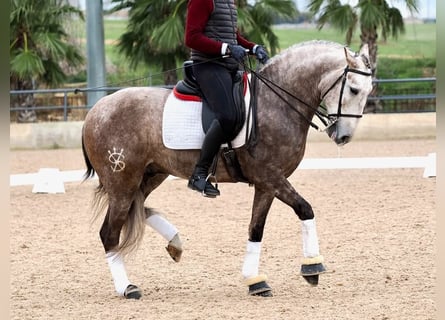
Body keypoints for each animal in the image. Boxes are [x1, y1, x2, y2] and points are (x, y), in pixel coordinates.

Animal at [82, 40, 372, 300]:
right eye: (354, 89)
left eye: (369, 91)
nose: (343, 136)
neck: (275, 103)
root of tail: (94, 111)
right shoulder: (271, 177)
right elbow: (305, 209)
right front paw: (313, 266)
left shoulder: (267, 184)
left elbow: (256, 229)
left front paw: (255, 281)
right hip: (123, 180)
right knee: (109, 233)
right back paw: (127, 287)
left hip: (151, 175)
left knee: (139, 207)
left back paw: (175, 242)